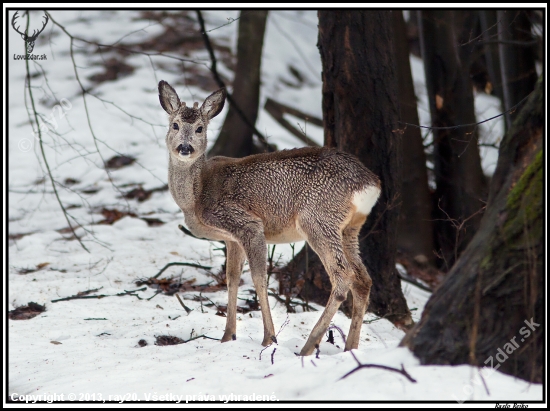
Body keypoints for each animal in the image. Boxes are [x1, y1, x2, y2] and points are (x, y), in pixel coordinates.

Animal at [160, 81, 384, 358]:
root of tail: (370, 183)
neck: (196, 198)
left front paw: (269, 338)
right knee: (363, 280)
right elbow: (231, 278)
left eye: (200, 128)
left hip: (318, 217)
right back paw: (350, 347)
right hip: (349, 228)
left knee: (343, 277)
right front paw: (227, 336)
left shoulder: (247, 223)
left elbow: (259, 278)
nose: (185, 148)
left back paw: (309, 345)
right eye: (175, 125)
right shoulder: (231, 239)